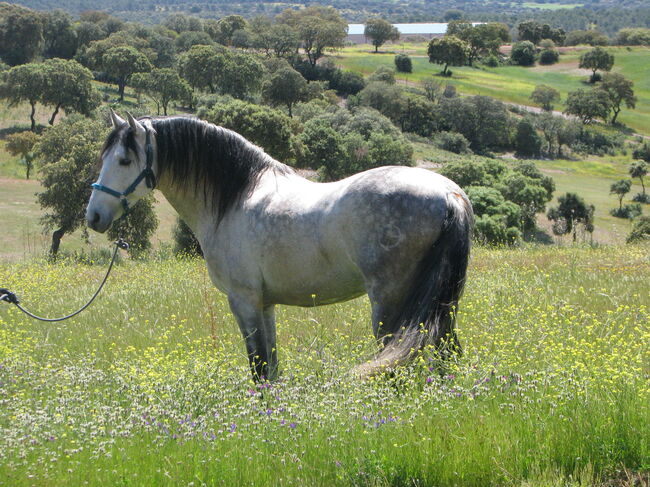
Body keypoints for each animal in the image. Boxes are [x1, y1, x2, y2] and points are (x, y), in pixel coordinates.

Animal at [86, 111, 470, 382]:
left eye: (124, 160)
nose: (94, 216)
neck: (235, 198)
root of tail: (447, 194)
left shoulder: (244, 300)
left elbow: (258, 368)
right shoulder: (265, 303)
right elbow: (271, 366)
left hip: (391, 304)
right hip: (441, 306)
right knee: (448, 352)